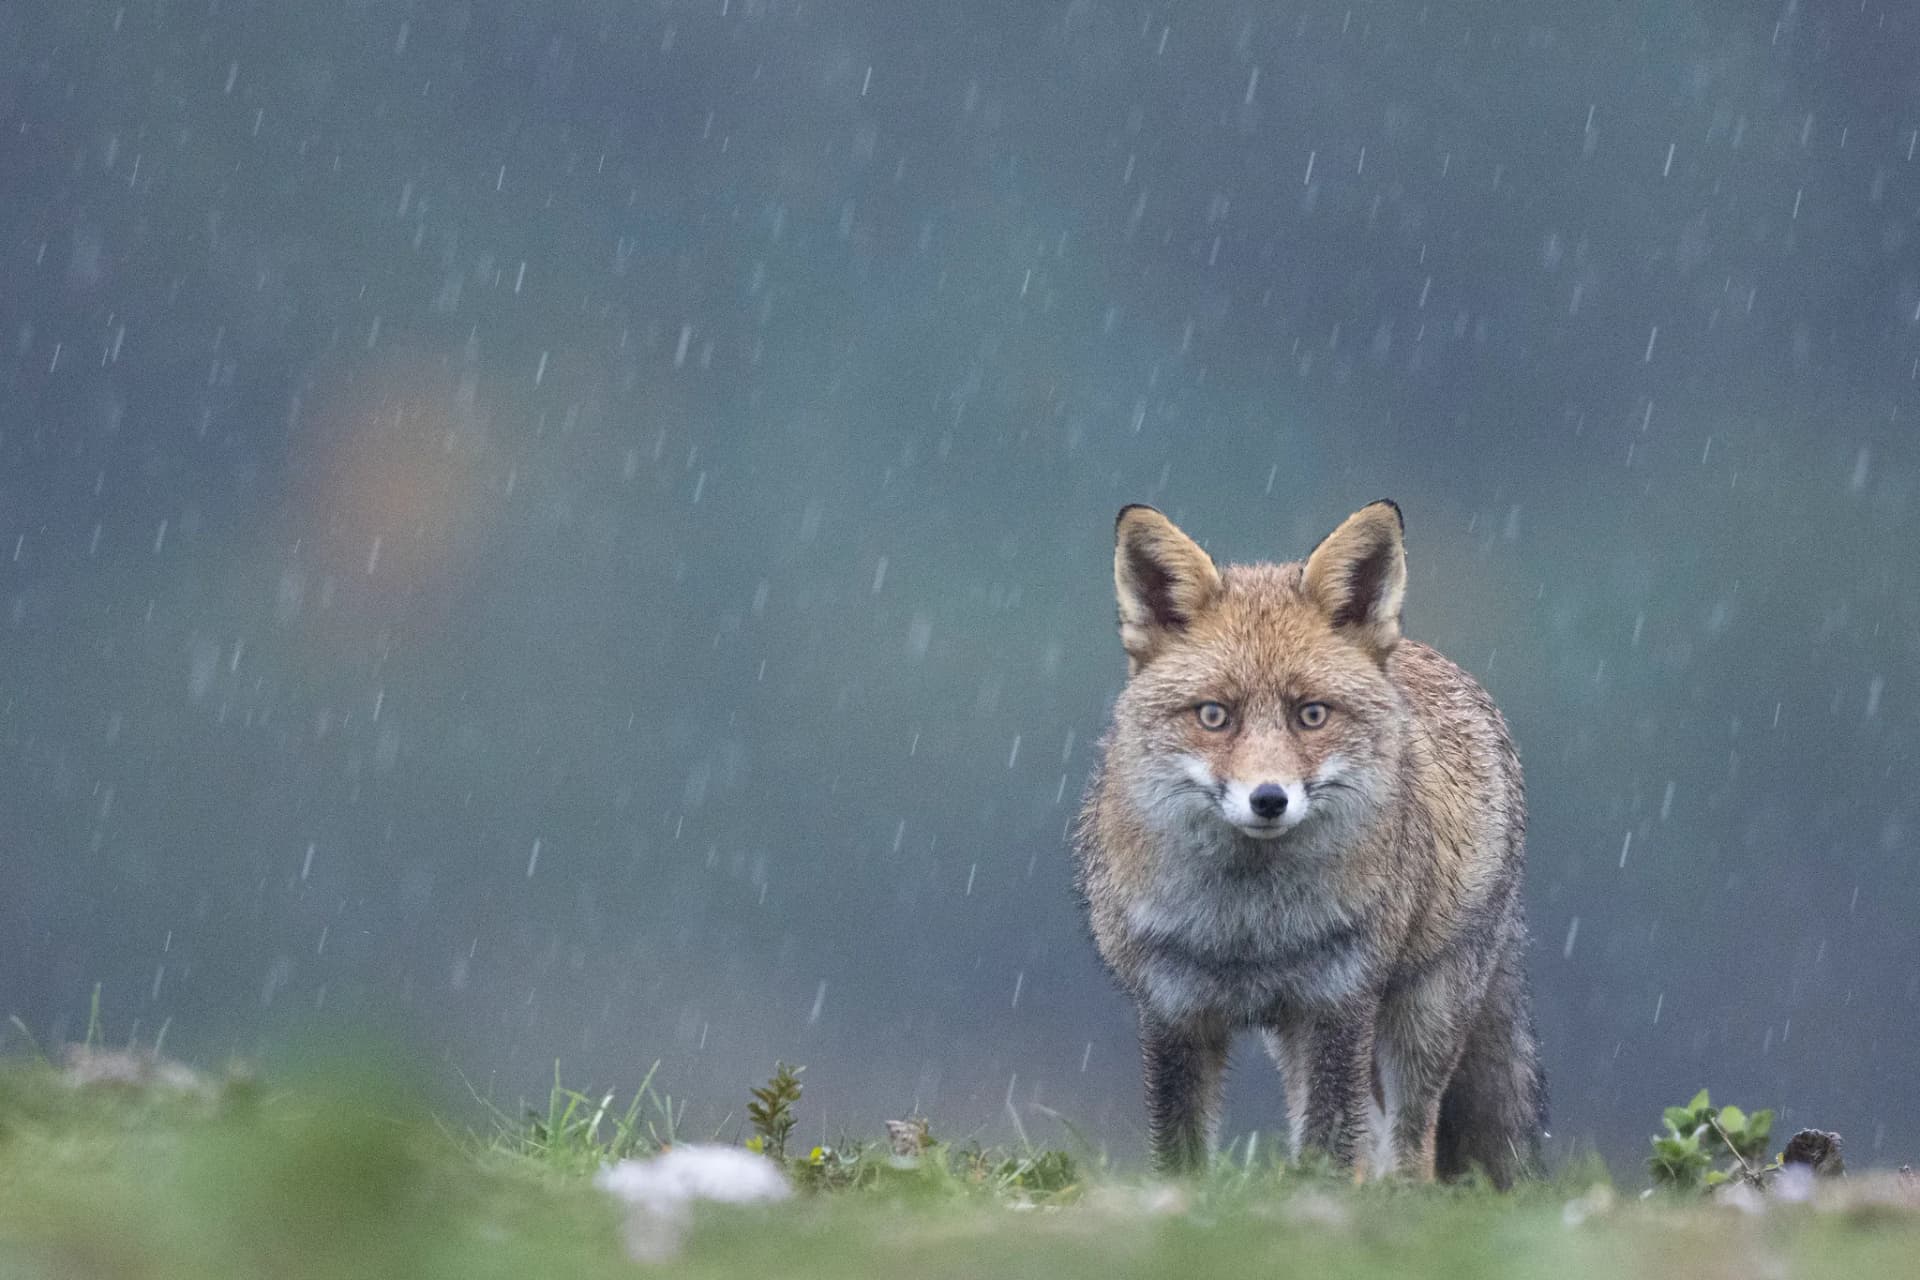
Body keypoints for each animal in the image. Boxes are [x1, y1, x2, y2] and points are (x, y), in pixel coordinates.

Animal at [1073, 500, 1545, 1186]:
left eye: (1311, 715)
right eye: (1214, 716)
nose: (1269, 798)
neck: (1249, 930)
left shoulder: (1337, 1002)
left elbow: (1329, 1145)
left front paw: (1319, 1201)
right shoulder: (1171, 1009)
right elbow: (1183, 1153)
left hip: (1425, 1013)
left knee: (1411, 1137)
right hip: (1294, 1038)